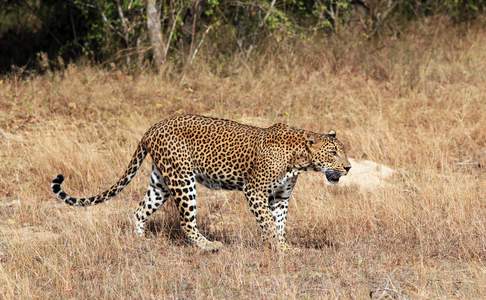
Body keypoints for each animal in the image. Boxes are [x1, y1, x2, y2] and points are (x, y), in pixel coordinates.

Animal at [51, 114, 352, 251]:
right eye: (333, 153)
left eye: (343, 151)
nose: (348, 167)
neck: (299, 159)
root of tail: (154, 127)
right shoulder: (254, 191)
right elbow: (267, 222)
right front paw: (278, 248)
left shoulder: (280, 197)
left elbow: (279, 223)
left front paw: (282, 247)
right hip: (184, 181)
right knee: (186, 221)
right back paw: (209, 246)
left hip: (161, 182)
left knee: (139, 210)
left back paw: (140, 242)